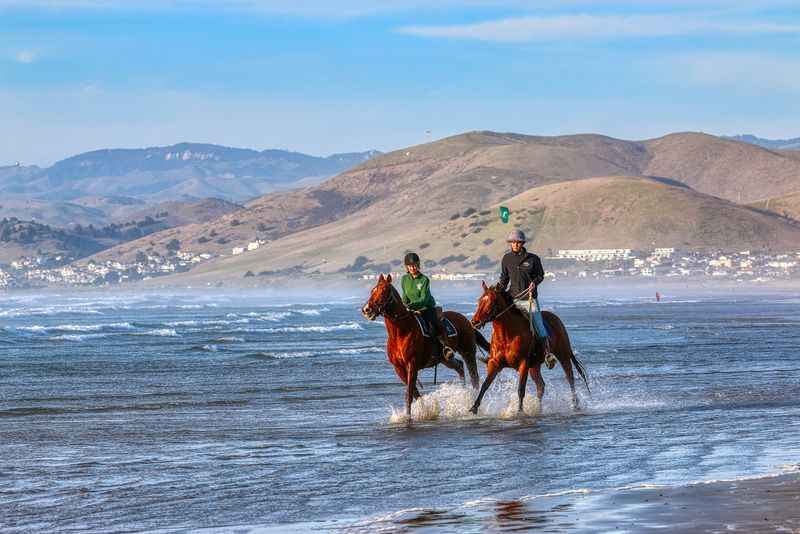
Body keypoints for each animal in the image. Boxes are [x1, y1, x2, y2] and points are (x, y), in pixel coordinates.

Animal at [360, 274, 488, 420]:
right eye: (372, 291)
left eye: (383, 292)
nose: (366, 309)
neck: (401, 333)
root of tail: (467, 321)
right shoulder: (399, 368)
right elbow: (415, 393)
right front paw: (425, 410)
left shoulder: (412, 365)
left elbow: (409, 394)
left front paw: (408, 417)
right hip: (445, 359)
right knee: (459, 366)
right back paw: (463, 393)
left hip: (468, 352)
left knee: (474, 376)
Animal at [468, 282, 588, 416]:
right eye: (479, 300)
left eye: (492, 302)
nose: (475, 322)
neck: (507, 335)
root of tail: (557, 319)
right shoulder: (494, 363)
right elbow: (485, 385)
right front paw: (474, 408)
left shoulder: (523, 363)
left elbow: (521, 389)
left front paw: (519, 412)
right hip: (534, 366)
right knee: (541, 385)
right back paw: (538, 409)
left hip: (563, 355)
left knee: (570, 378)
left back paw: (576, 405)